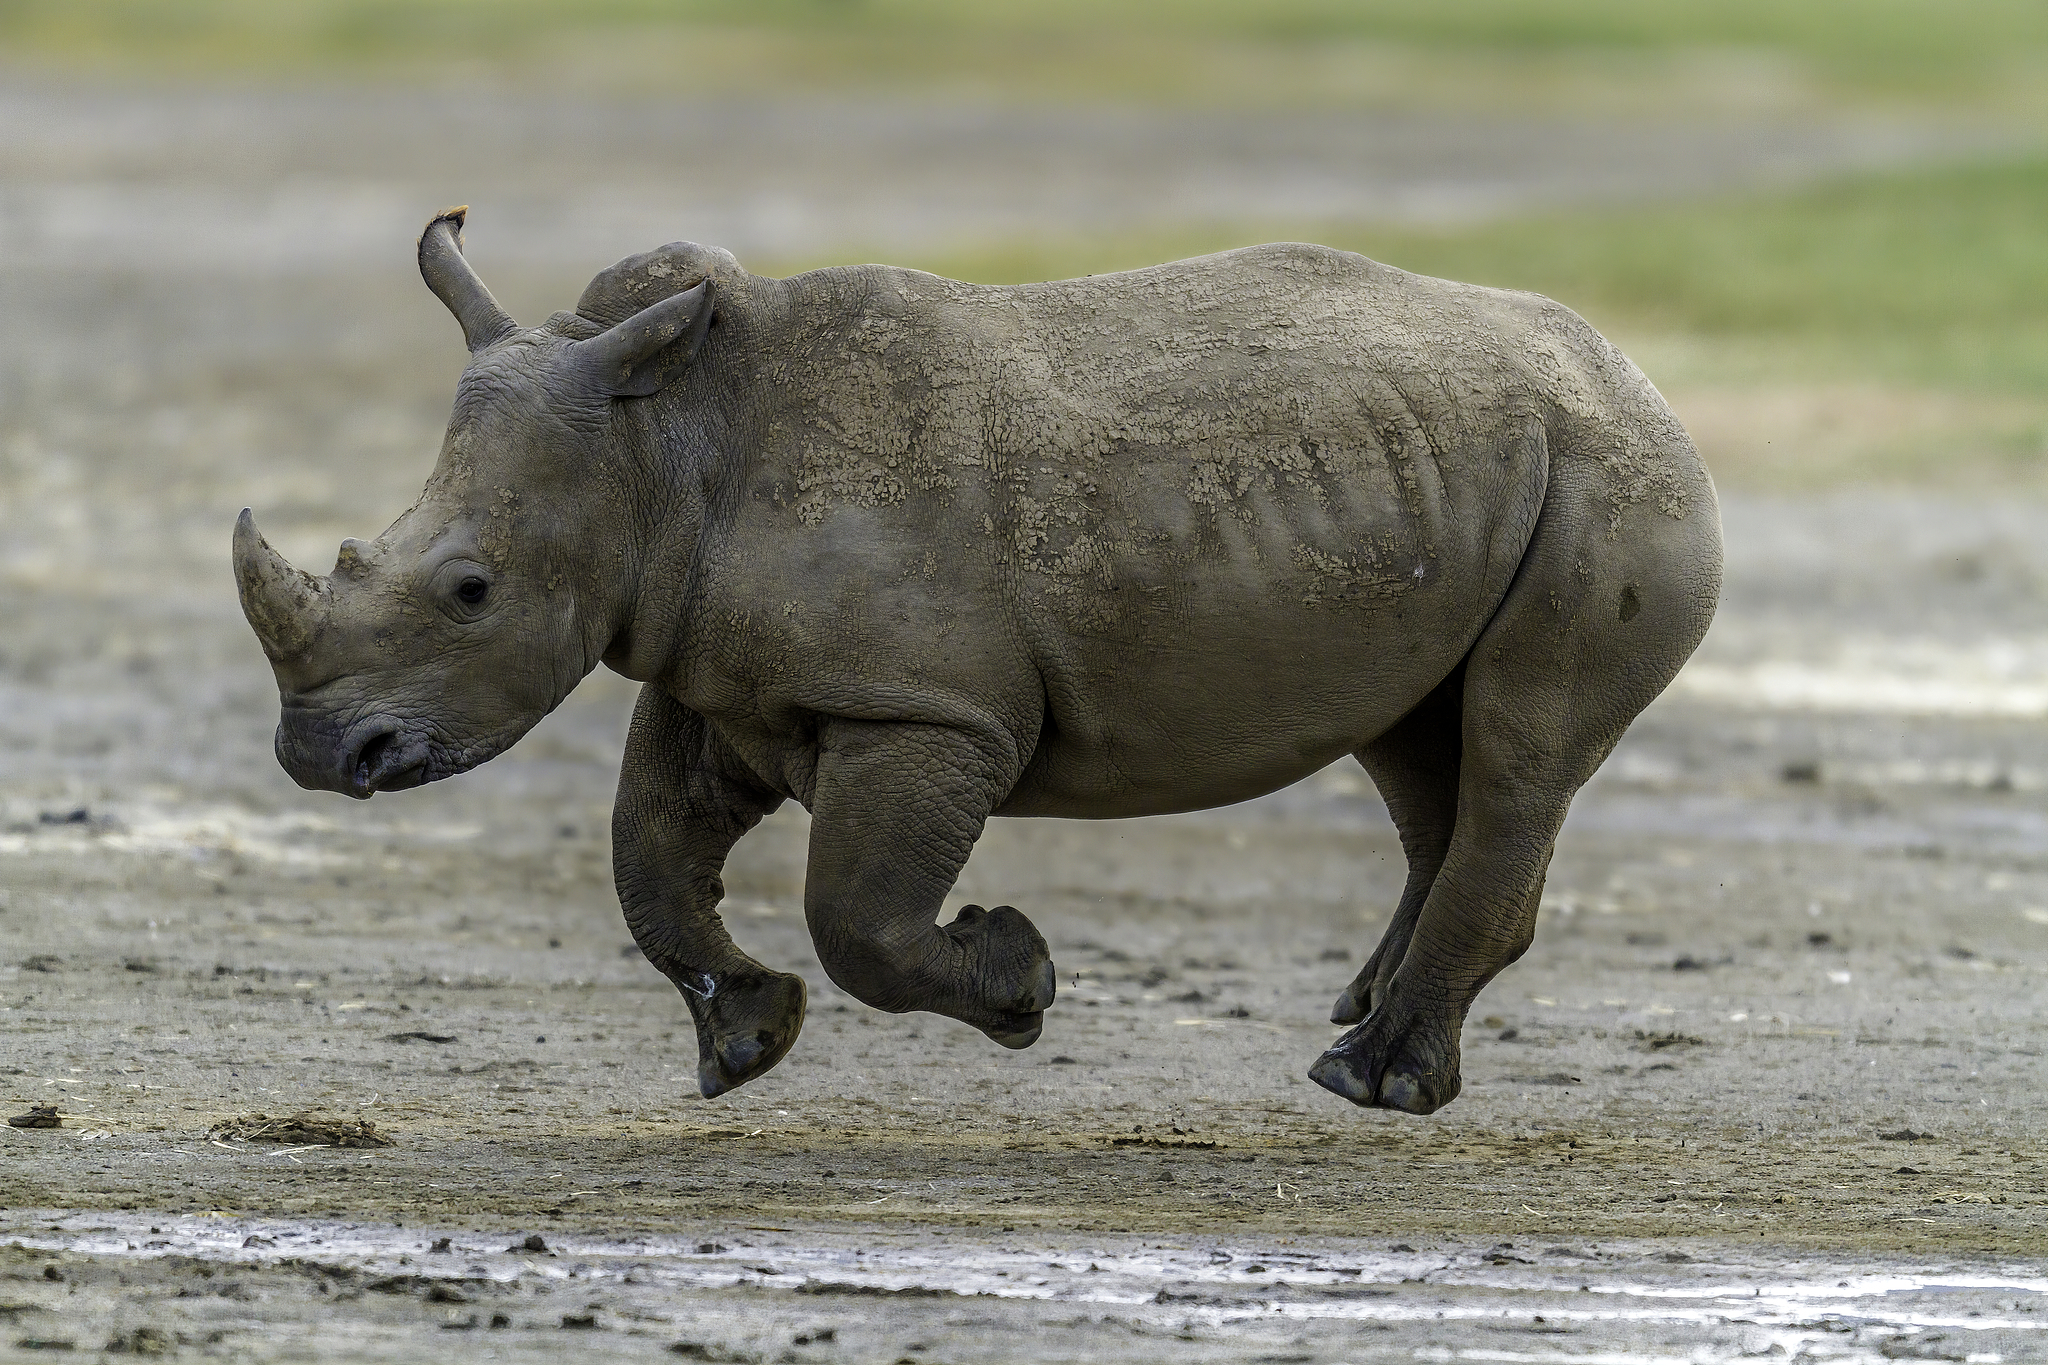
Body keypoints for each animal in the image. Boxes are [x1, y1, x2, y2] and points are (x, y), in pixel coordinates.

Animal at [234, 207, 1719, 1115]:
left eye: (469, 592)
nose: (318, 753)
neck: (664, 450)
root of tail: (1637, 374)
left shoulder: (931, 712)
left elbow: (856, 917)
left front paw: (1019, 984)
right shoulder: (715, 671)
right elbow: (647, 863)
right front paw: (747, 1045)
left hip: (1610, 480)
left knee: (1517, 750)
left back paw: (1371, 1081)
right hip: (1456, 480)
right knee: (1419, 748)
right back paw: (1359, 1027)